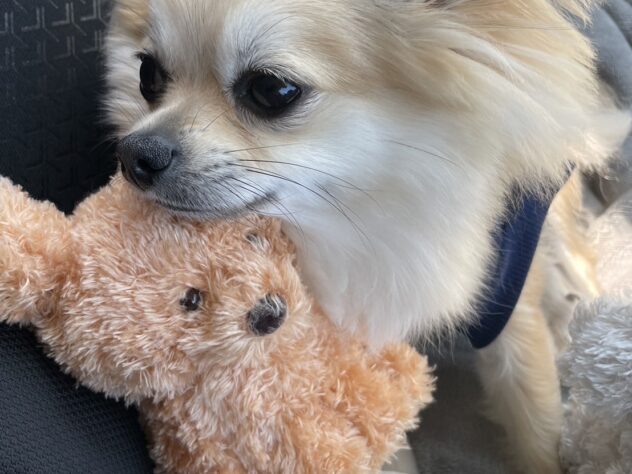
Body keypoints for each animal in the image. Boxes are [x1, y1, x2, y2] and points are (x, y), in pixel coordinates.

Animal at [103, 1, 631, 472]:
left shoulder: (508, 311)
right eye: (148, 75)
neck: (363, 220)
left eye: (272, 89)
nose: (135, 153)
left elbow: (534, 420)